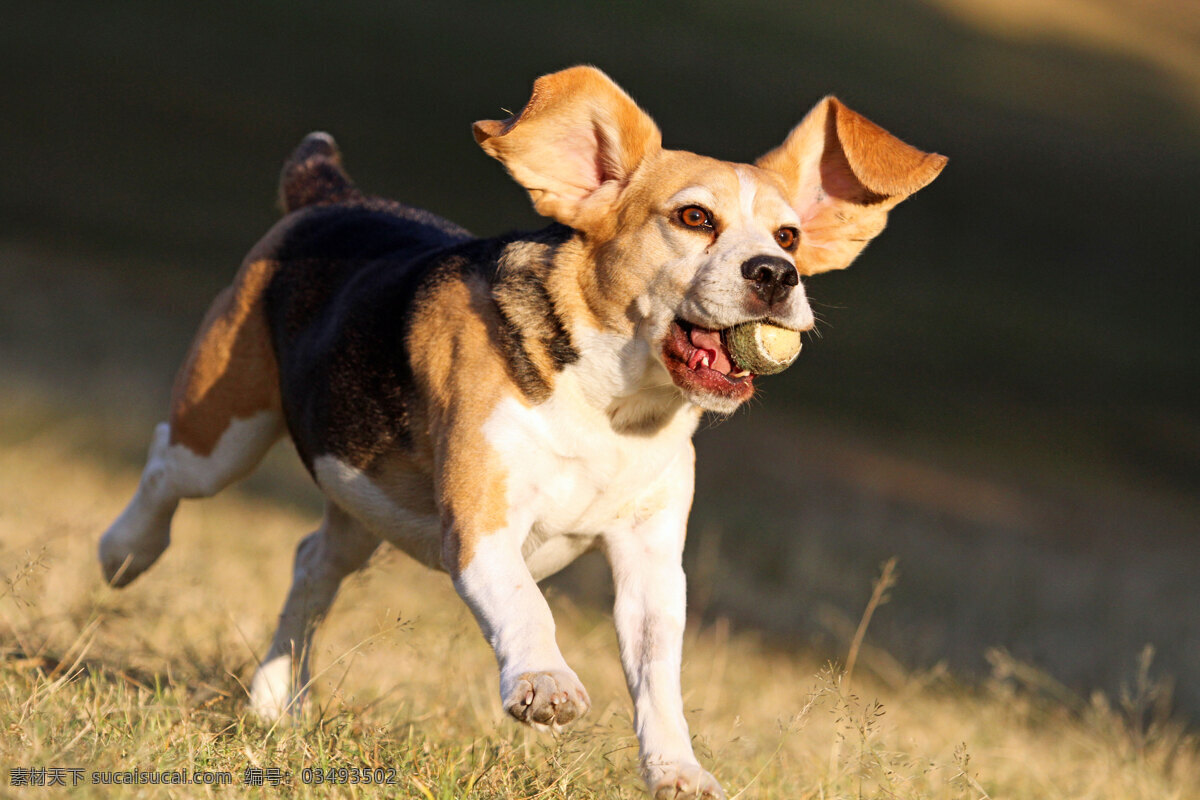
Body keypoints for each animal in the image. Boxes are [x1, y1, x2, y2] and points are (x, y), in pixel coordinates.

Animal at [100, 65, 945, 796]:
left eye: (790, 236)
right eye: (694, 218)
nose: (775, 275)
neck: (614, 406)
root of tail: (333, 194)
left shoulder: (650, 562)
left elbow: (658, 674)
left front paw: (679, 772)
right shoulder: (481, 526)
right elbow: (526, 606)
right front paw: (545, 684)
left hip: (361, 494)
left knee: (312, 563)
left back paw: (277, 702)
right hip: (224, 431)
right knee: (164, 467)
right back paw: (124, 552)